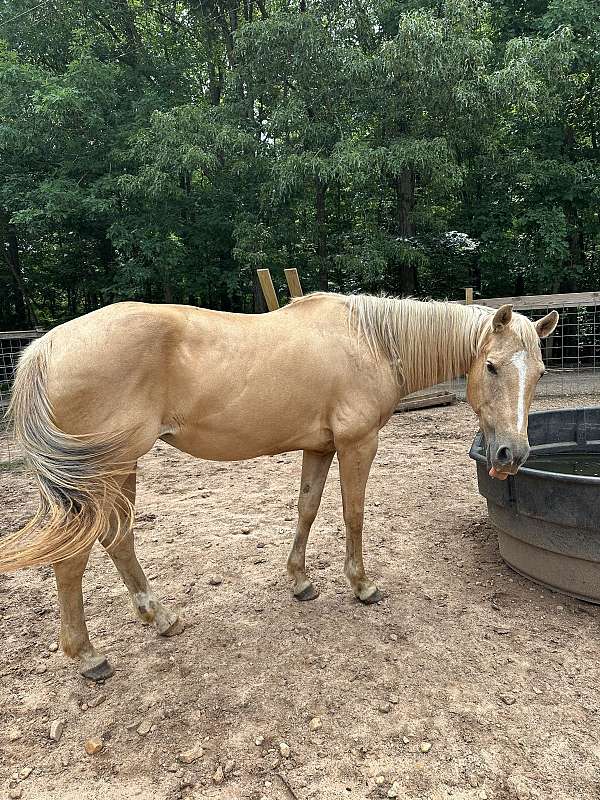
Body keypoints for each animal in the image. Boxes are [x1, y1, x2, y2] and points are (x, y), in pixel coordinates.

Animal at [1, 292, 558, 680]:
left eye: (539, 372)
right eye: (491, 366)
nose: (511, 455)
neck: (371, 342)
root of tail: (47, 346)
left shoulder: (320, 447)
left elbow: (306, 509)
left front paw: (300, 581)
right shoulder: (358, 443)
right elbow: (353, 513)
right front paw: (362, 586)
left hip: (118, 472)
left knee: (117, 541)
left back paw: (159, 618)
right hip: (98, 475)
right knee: (73, 557)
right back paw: (89, 657)